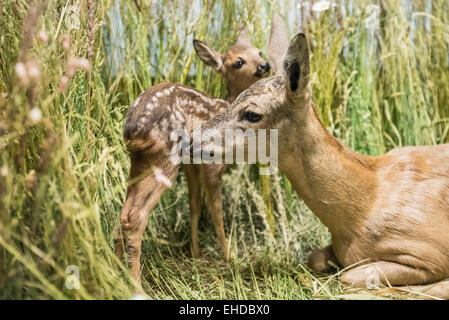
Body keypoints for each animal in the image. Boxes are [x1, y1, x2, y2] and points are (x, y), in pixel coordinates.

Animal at [115, 16, 284, 288]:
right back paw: (135, 283)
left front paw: (195, 254)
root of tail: (133, 128)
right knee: (135, 216)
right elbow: (216, 209)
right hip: (164, 160)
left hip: (140, 162)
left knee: (123, 211)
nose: (264, 65)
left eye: (258, 51)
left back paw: (115, 269)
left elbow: (194, 204)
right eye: (238, 62)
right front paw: (229, 257)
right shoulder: (212, 163)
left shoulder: (192, 164)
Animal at [196, 29, 448, 298]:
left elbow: (349, 277)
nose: (191, 139)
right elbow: (316, 258)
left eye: (253, 114)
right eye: (233, 99)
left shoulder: (430, 254)